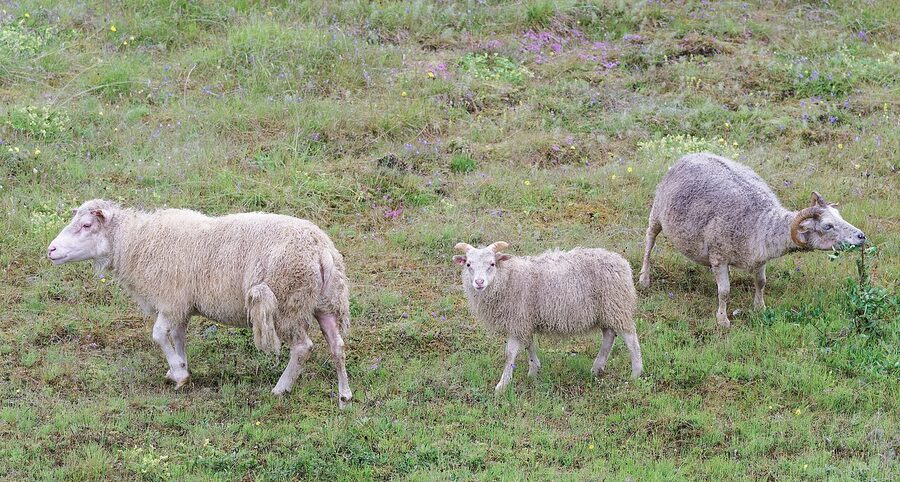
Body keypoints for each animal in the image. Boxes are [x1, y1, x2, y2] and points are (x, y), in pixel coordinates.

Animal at [47, 199, 353, 407]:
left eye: (86, 225)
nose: (50, 250)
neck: (135, 242)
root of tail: (321, 249)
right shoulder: (182, 304)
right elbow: (178, 336)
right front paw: (179, 368)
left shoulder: (170, 299)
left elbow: (158, 335)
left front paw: (179, 373)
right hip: (323, 302)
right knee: (337, 345)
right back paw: (344, 395)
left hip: (288, 301)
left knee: (303, 347)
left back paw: (281, 388)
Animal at [453, 241, 643, 393]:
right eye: (468, 264)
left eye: (492, 264)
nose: (479, 282)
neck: (507, 278)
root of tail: (622, 262)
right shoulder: (525, 319)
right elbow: (529, 344)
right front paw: (533, 370)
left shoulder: (517, 319)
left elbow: (510, 353)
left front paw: (502, 384)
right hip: (605, 312)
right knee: (609, 336)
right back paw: (596, 368)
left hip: (617, 306)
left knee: (630, 338)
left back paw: (636, 373)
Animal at [639, 152, 866, 327]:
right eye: (828, 225)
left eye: (840, 216)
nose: (861, 236)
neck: (761, 222)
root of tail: (690, 155)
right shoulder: (719, 255)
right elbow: (724, 292)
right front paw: (722, 320)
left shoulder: (759, 257)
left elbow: (761, 282)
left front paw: (760, 307)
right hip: (657, 212)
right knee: (649, 241)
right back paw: (644, 278)